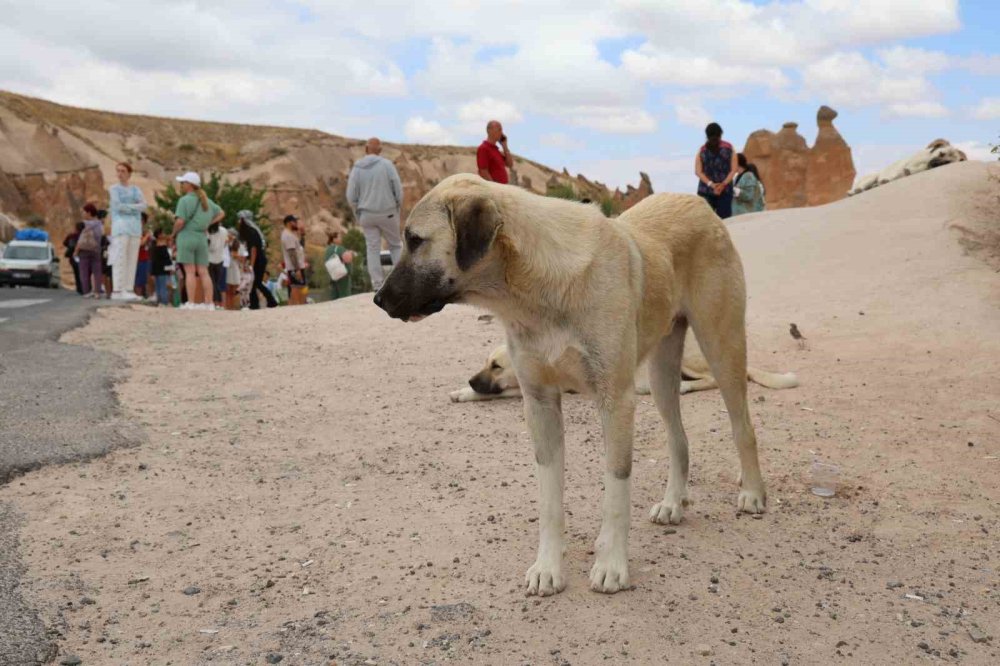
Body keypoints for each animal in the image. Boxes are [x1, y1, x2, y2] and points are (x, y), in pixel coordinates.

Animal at [378, 174, 768, 592]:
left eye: (415, 239)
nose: (377, 299)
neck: (536, 290)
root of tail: (696, 202)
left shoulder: (616, 401)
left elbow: (616, 490)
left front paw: (611, 563)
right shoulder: (539, 404)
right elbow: (549, 500)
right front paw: (548, 568)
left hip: (721, 348)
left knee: (743, 427)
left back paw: (752, 492)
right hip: (661, 376)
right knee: (679, 439)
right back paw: (673, 503)